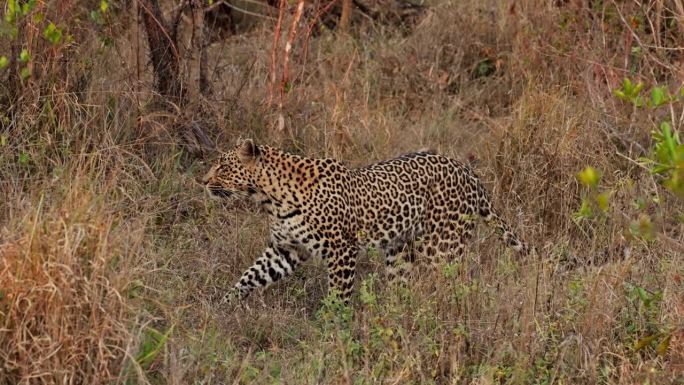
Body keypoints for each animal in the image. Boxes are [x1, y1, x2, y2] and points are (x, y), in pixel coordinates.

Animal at [200, 138, 532, 304]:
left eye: (223, 167)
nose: (202, 181)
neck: (270, 198)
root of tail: (468, 171)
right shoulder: (286, 250)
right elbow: (249, 276)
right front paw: (223, 306)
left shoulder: (341, 250)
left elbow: (339, 294)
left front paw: (334, 329)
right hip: (400, 251)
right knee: (402, 286)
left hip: (442, 246)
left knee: (457, 281)